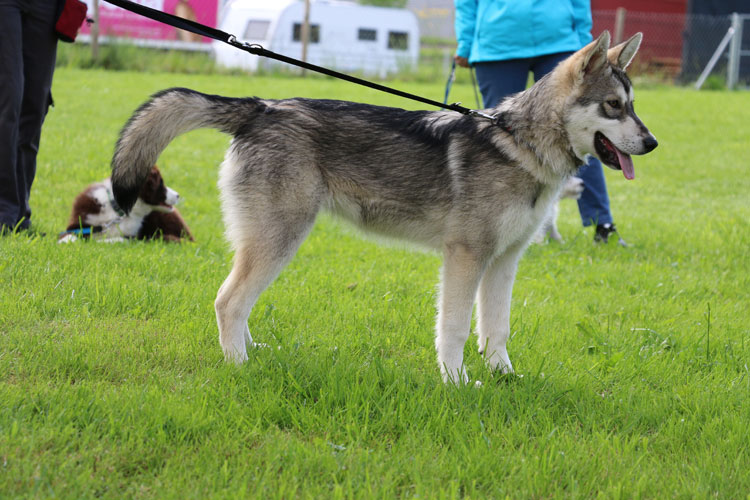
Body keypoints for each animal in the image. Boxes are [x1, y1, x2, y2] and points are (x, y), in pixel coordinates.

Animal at [110, 31, 657, 383]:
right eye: (613, 106)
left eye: (634, 105)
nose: (653, 143)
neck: (519, 145)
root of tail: (261, 107)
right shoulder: (465, 258)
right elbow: (455, 329)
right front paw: (457, 382)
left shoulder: (504, 262)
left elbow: (496, 329)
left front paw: (506, 377)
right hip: (278, 240)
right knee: (228, 301)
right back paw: (239, 367)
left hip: (272, 242)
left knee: (239, 304)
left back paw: (252, 353)